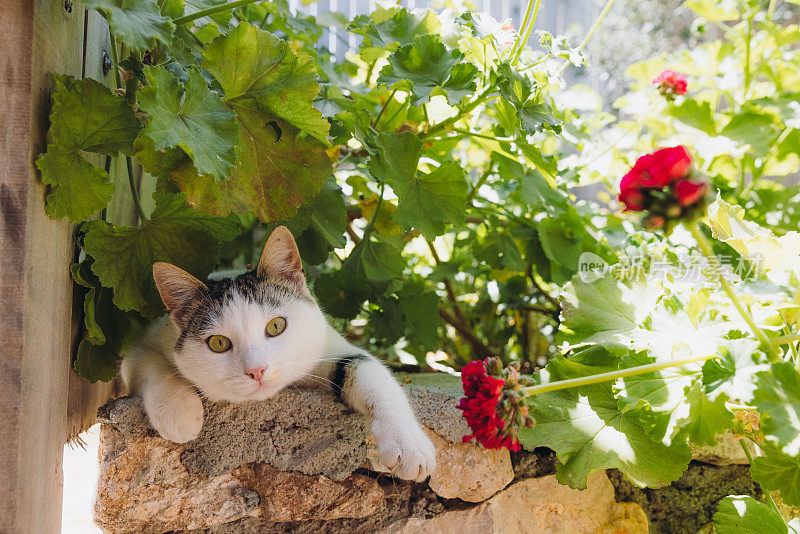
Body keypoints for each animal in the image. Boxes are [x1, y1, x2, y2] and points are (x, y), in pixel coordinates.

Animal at [120, 224, 438, 484]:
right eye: (218, 343)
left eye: (276, 326)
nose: (256, 370)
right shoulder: (142, 346)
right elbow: (152, 364)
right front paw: (179, 415)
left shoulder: (329, 344)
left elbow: (369, 370)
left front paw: (408, 444)